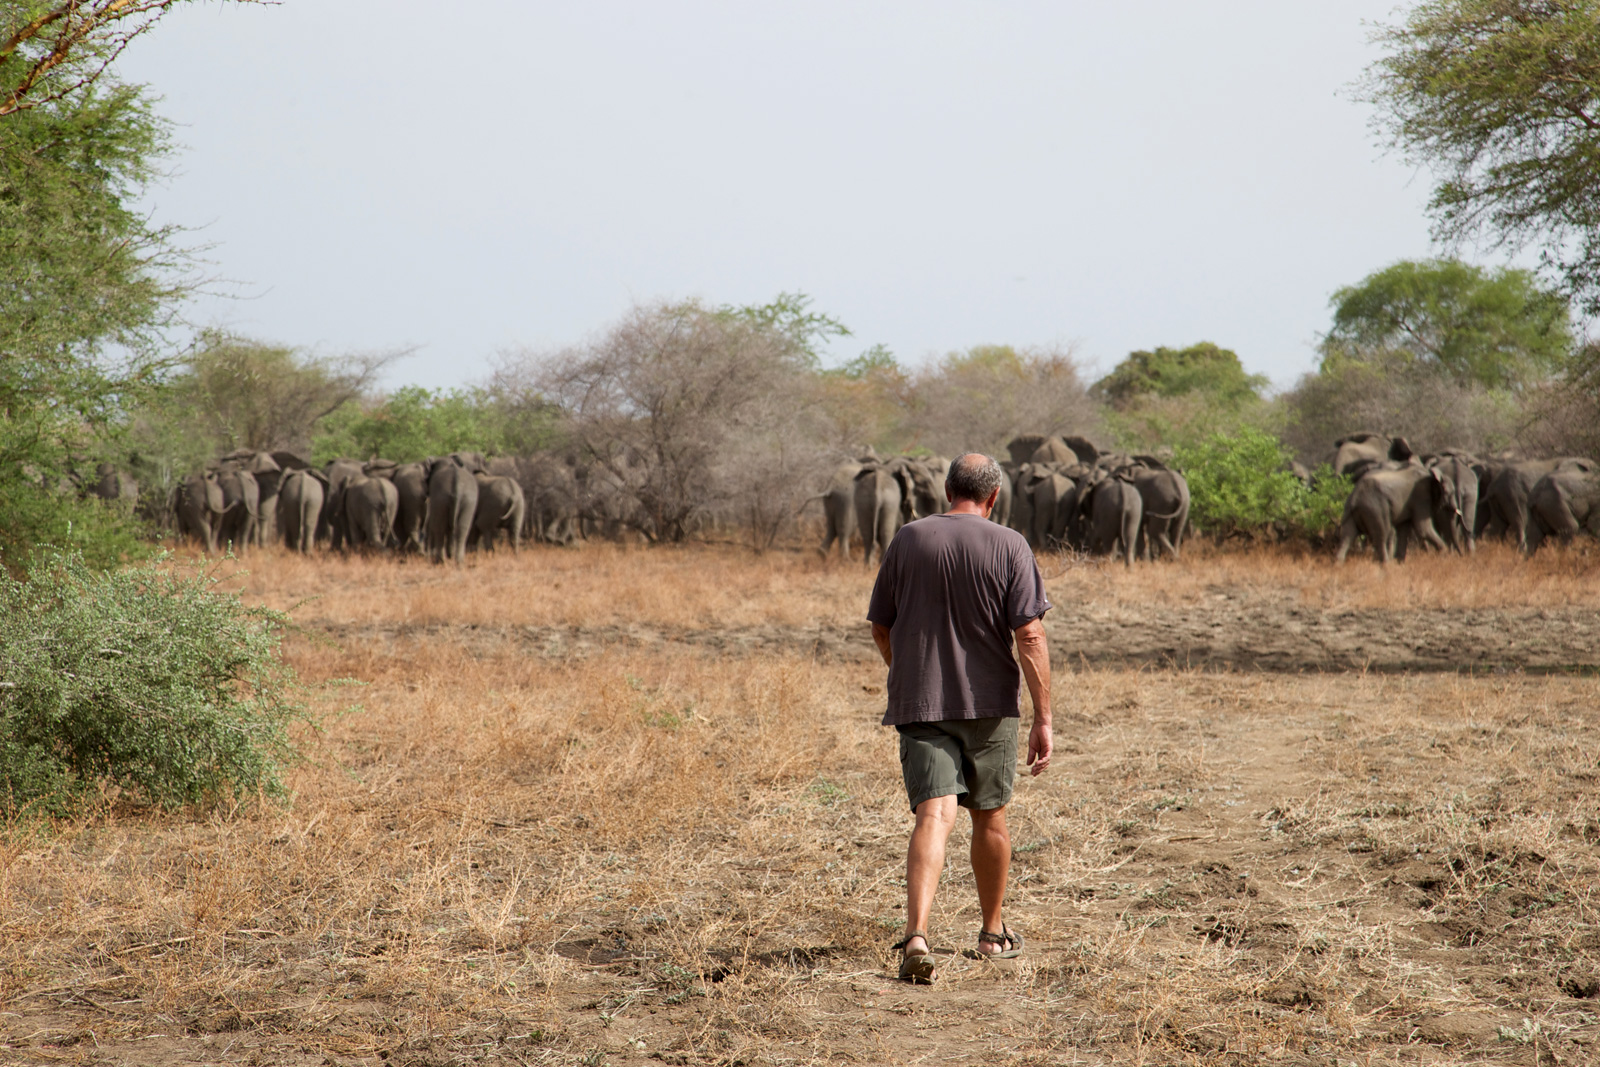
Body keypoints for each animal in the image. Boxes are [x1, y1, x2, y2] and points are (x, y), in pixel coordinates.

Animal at [1331, 467, 1459, 566]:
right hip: (1376, 509)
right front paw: (1444, 555)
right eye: (1451, 493)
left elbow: (1403, 529)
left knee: (1347, 536)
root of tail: (1355, 497)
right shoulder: (1421, 498)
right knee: (1381, 535)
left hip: (1351, 511)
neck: (1432, 475)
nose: (1458, 556)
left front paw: (1400, 564)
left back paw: (1338, 565)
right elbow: (1423, 528)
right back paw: (1386, 566)